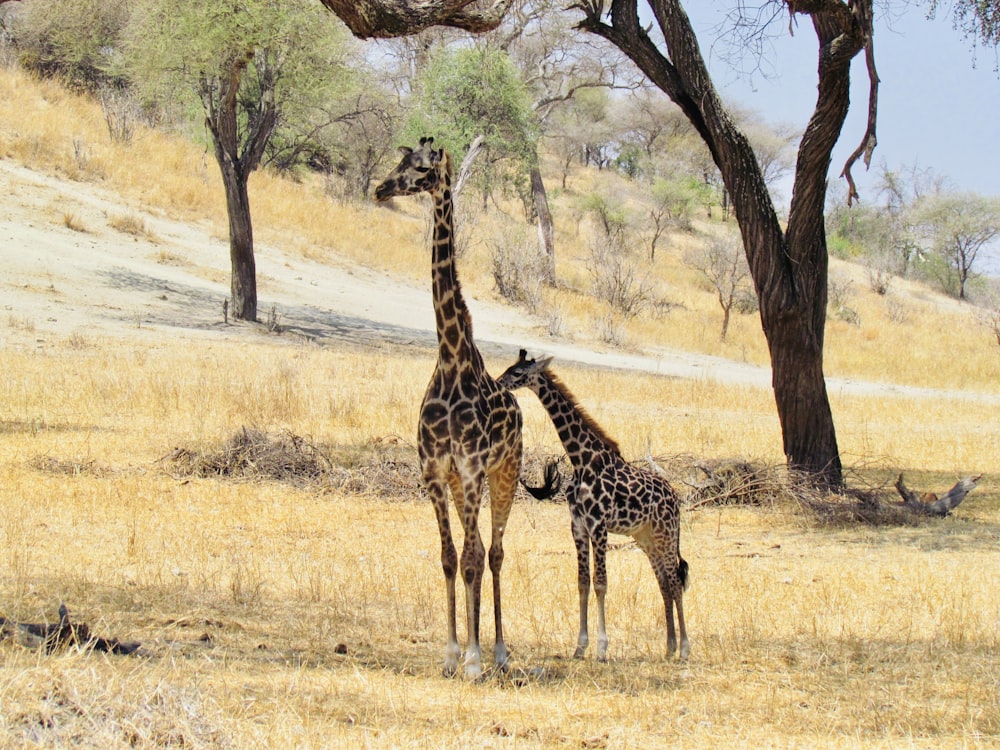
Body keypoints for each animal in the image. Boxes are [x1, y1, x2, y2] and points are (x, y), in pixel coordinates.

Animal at [374, 137, 524, 680]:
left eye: (421, 169)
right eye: (400, 162)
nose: (381, 188)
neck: (451, 359)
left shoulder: (474, 467)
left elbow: (474, 558)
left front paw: (475, 658)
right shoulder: (436, 471)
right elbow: (448, 557)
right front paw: (450, 654)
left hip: (504, 475)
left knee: (495, 552)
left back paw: (499, 653)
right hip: (465, 485)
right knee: (472, 550)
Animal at [498, 350, 688, 660]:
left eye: (517, 373)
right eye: (509, 367)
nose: (497, 383)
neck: (582, 461)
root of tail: (675, 498)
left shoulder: (599, 525)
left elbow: (601, 583)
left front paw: (601, 649)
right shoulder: (577, 526)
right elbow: (583, 582)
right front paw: (580, 647)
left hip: (666, 533)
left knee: (674, 581)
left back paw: (684, 648)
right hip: (646, 537)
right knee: (663, 582)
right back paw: (670, 647)